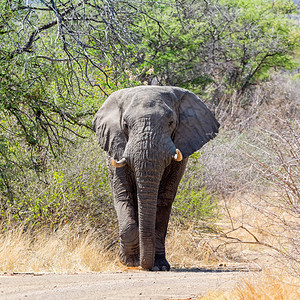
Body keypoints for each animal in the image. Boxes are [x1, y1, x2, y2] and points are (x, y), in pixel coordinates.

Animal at [92, 85, 219, 270]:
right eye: (125, 125)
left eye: (171, 123)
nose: (145, 265)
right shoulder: (116, 148)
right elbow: (123, 196)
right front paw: (129, 262)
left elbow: (163, 200)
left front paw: (159, 266)